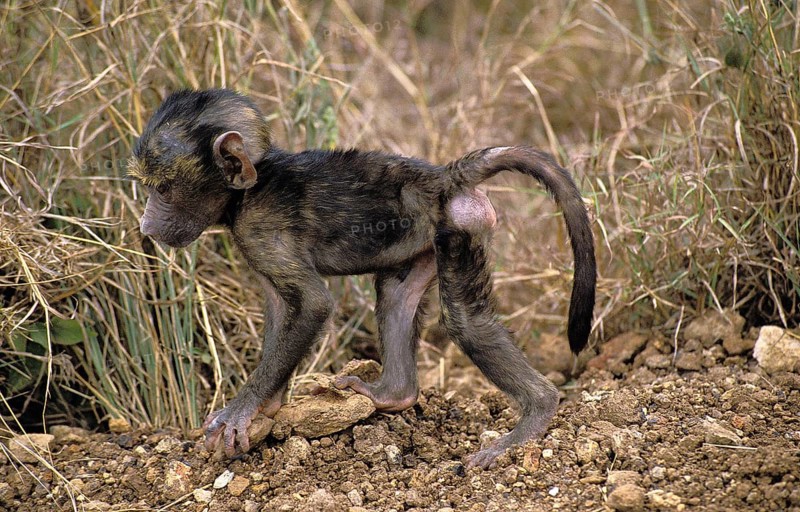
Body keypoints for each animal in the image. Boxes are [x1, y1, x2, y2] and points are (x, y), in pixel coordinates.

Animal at [128, 88, 596, 469]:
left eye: (163, 189)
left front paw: (240, 411)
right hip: (427, 241)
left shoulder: (260, 229)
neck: (249, 189)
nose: (146, 226)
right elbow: (281, 307)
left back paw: (534, 416)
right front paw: (268, 402)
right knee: (396, 296)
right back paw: (394, 395)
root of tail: (446, 176)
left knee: (466, 322)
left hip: (462, 224)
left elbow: (313, 304)